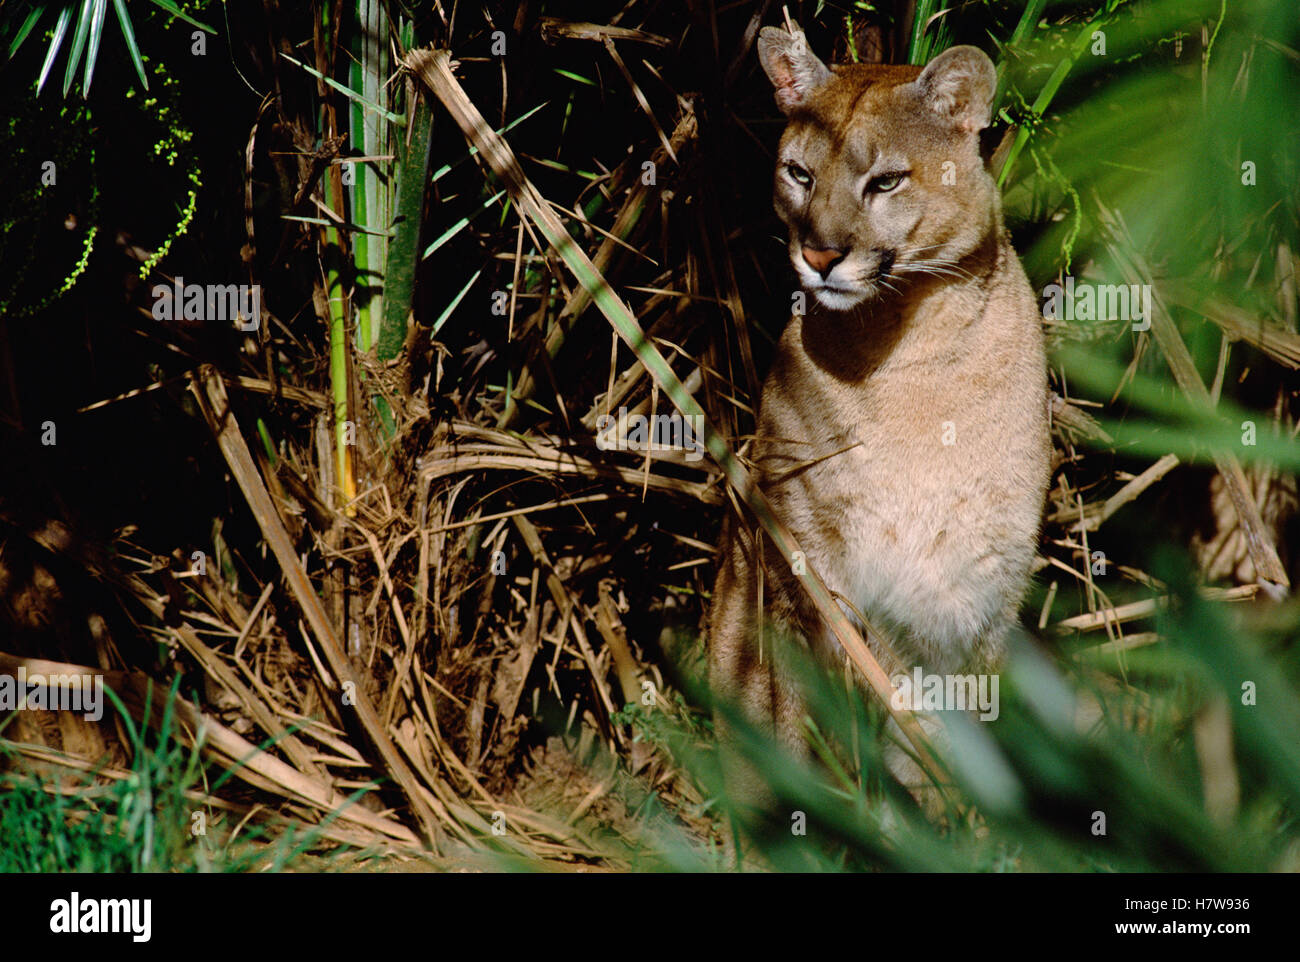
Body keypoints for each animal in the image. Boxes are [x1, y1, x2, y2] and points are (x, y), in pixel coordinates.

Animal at [712, 24, 1055, 811]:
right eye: (799, 174)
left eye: (887, 182)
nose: (818, 255)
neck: (912, 352)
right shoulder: (806, 561)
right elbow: (802, 710)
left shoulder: (983, 587)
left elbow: (953, 729)